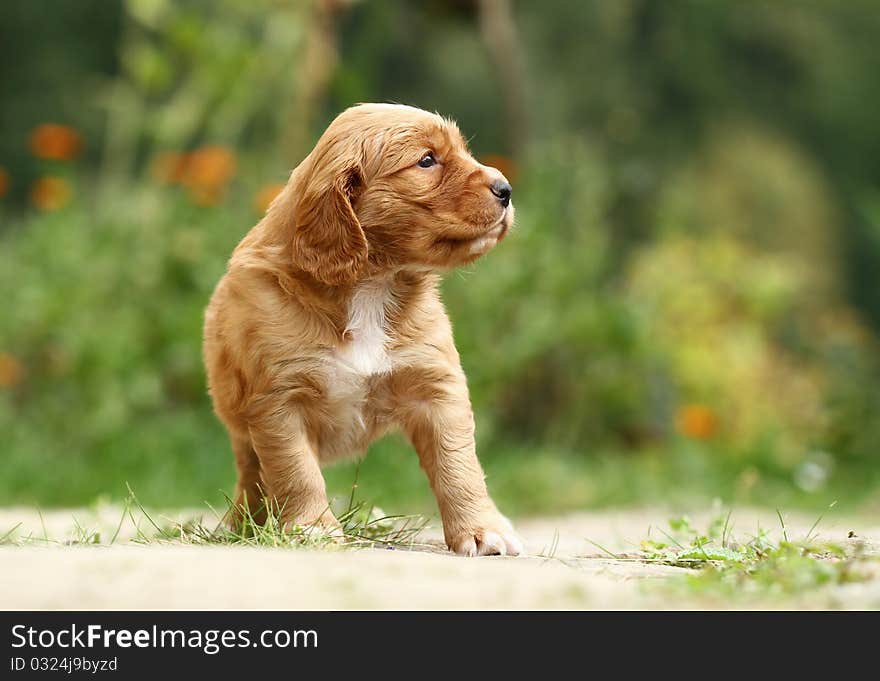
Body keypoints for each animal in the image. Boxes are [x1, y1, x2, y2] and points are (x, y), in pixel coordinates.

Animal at [205, 102, 524, 556]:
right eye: (427, 160)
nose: (506, 188)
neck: (372, 285)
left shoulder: (437, 387)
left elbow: (458, 464)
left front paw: (482, 530)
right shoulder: (278, 400)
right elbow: (296, 471)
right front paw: (312, 529)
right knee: (253, 477)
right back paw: (244, 526)